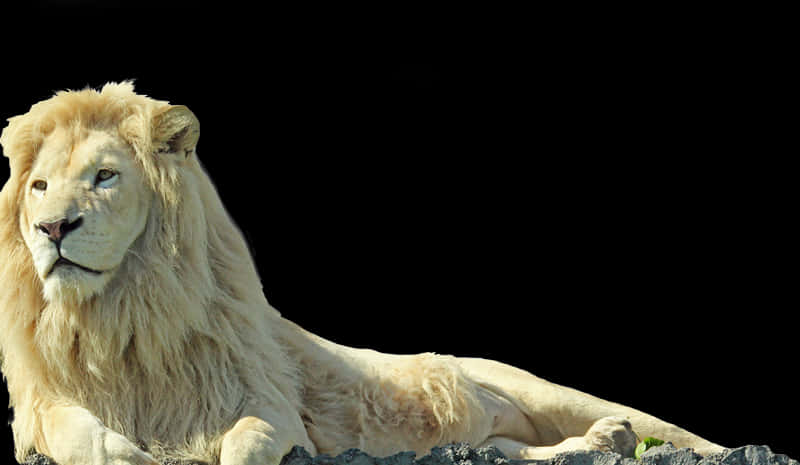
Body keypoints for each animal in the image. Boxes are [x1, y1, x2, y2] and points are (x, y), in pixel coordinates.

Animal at [0, 83, 724, 464]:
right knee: (513, 452)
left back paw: (631, 434)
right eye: (39, 186)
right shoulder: (44, 405)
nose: (53, 230)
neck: (125, 312)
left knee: (669, 433)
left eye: (104, 176)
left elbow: (250, 440)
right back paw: (604, 441)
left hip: (542, 389)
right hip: (487, 442)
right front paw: (132, 452)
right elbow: (84, 434)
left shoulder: (268, 401)